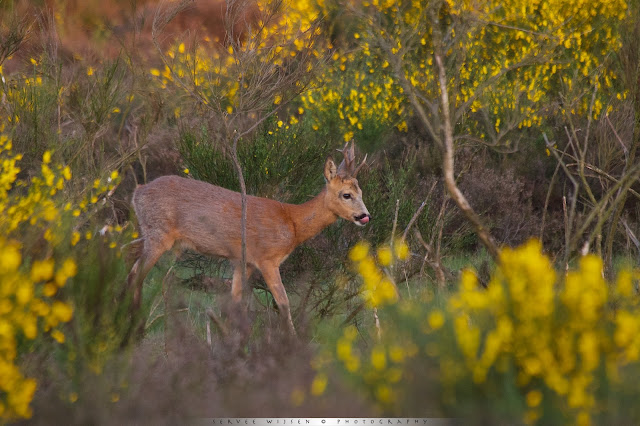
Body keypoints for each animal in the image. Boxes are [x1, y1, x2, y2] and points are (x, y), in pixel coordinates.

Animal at [126, 143, 370, 336]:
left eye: (361, 192)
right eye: (346, 194)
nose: (365, 216)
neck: (292, 223)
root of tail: (137, 192)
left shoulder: (243, 262)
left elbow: (235, 301)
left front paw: (228, 338)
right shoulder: (267, 259)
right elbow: (284, 303)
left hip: (150, 235)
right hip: (158, 234)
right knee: (136, 274)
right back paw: (135, 328)